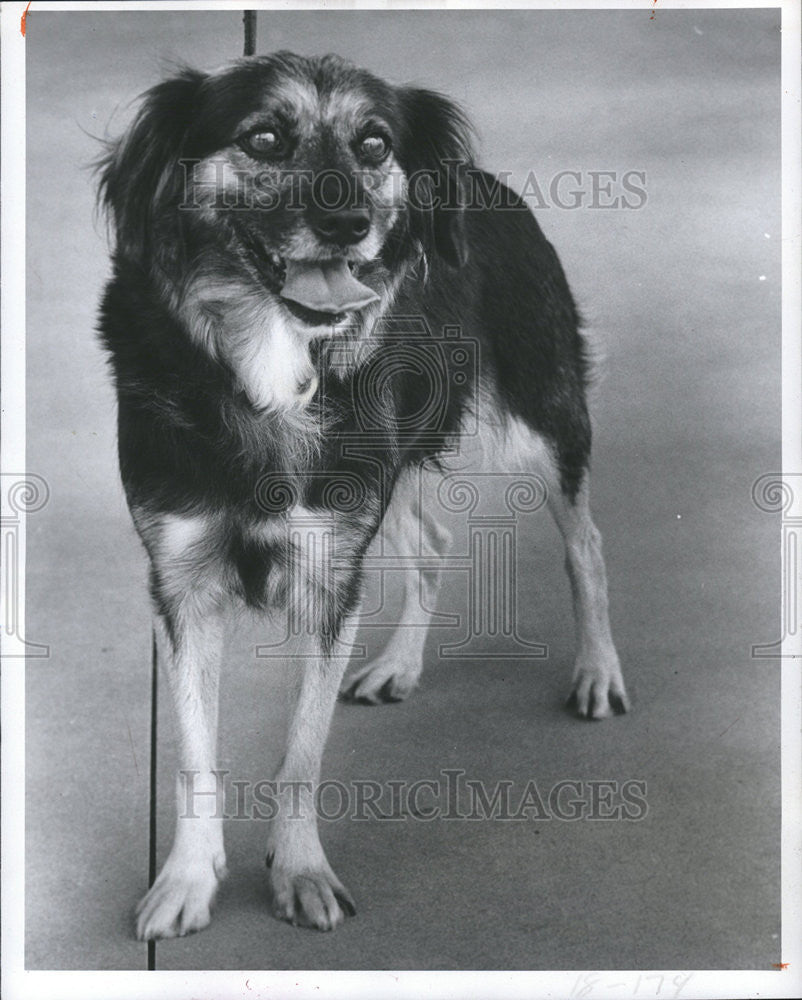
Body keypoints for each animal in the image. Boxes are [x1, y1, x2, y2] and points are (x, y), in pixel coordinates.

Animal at [97, 50, 628, 940]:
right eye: (263, 139)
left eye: (375, 144)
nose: (348, 225)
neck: (269, 360)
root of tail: (480, 181)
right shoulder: (182, 581)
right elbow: (194, 754)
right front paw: (187, 880)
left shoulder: (327, 576)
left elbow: (304, 748)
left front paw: (300, 871)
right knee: (434, 546)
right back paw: (400, 666)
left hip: (541, 418)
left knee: (585, 545)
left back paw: (597, 671)